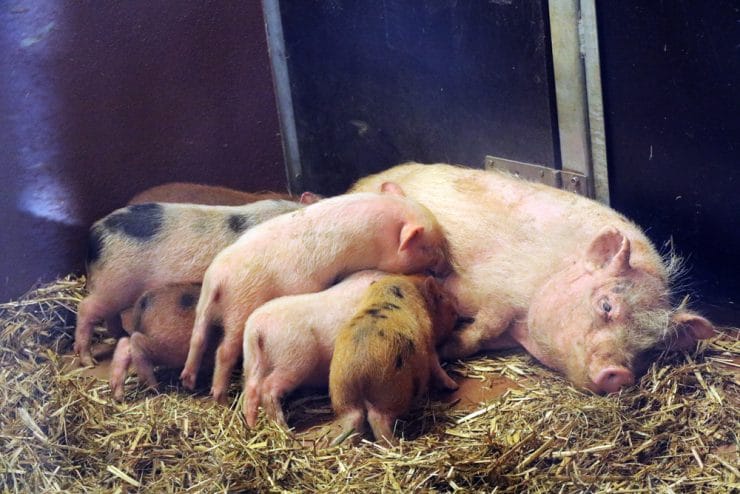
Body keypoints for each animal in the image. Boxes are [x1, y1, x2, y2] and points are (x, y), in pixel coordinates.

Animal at [352, 162, 716, 394]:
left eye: (649, 348)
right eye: (606, 306)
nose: (620, 373)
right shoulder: (498, 285)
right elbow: (487, 324)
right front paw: (446, 347)